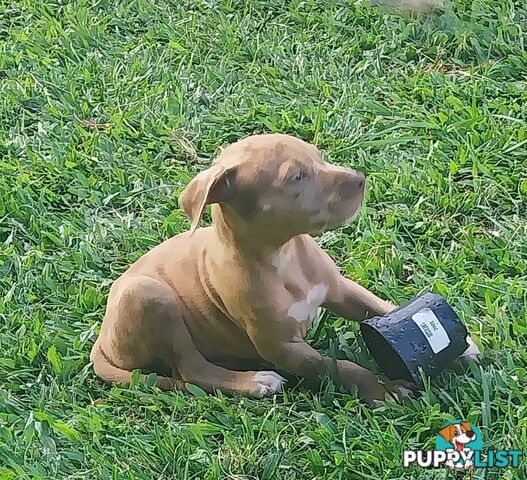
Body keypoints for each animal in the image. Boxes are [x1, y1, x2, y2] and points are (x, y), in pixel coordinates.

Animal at [92, 133, 478, 404]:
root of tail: (102, 341)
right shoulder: (281, 348)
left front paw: (461, 346)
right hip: (146, 295)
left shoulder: (339, 289)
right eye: (297, 177)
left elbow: (380, 307)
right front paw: (383, 389)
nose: (361, 179)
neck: (283, 258)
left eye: (319, 156)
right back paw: (255, 382)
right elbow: (340, 366)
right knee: (191, 370)